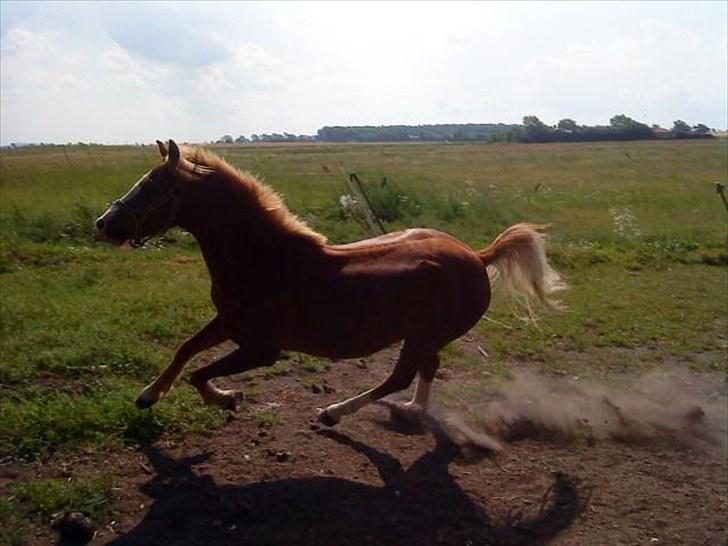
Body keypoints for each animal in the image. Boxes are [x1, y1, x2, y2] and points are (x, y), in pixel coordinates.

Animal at [96, 140, 564, 424]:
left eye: (151, 186)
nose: (103, 223)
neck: (265, 259)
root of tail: (477, 256)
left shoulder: (262, 348)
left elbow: (199, 373)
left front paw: (227, 397)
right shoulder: (229, 322)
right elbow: (185, 350)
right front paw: (148, 395)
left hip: (424, 336)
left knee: (400, 376)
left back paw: (335, 412)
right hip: (427, 337)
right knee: (426, 370)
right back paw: (412, 410)